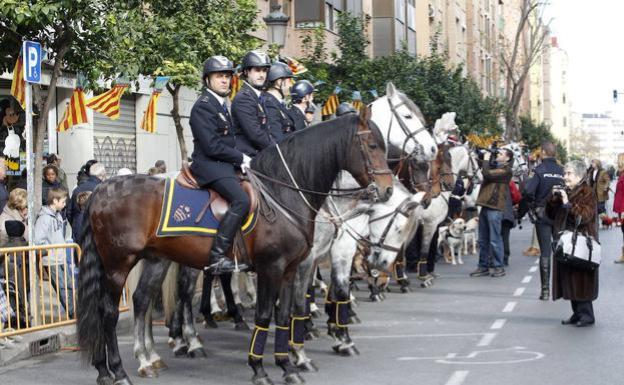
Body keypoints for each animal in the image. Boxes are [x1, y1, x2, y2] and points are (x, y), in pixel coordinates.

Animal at [75, 106, 392, 384]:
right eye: (373, 145)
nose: (387, 190)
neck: (282, 191)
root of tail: (102, 188)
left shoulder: (290, 269)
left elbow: (285, 313)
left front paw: (288, 365)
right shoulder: (272, 267)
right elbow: (267, 313)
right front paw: (261, 368)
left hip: (154, 258)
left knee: (141, 300)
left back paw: (126, 365)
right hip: (118, 264)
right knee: (109, 312)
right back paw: (119, 371)